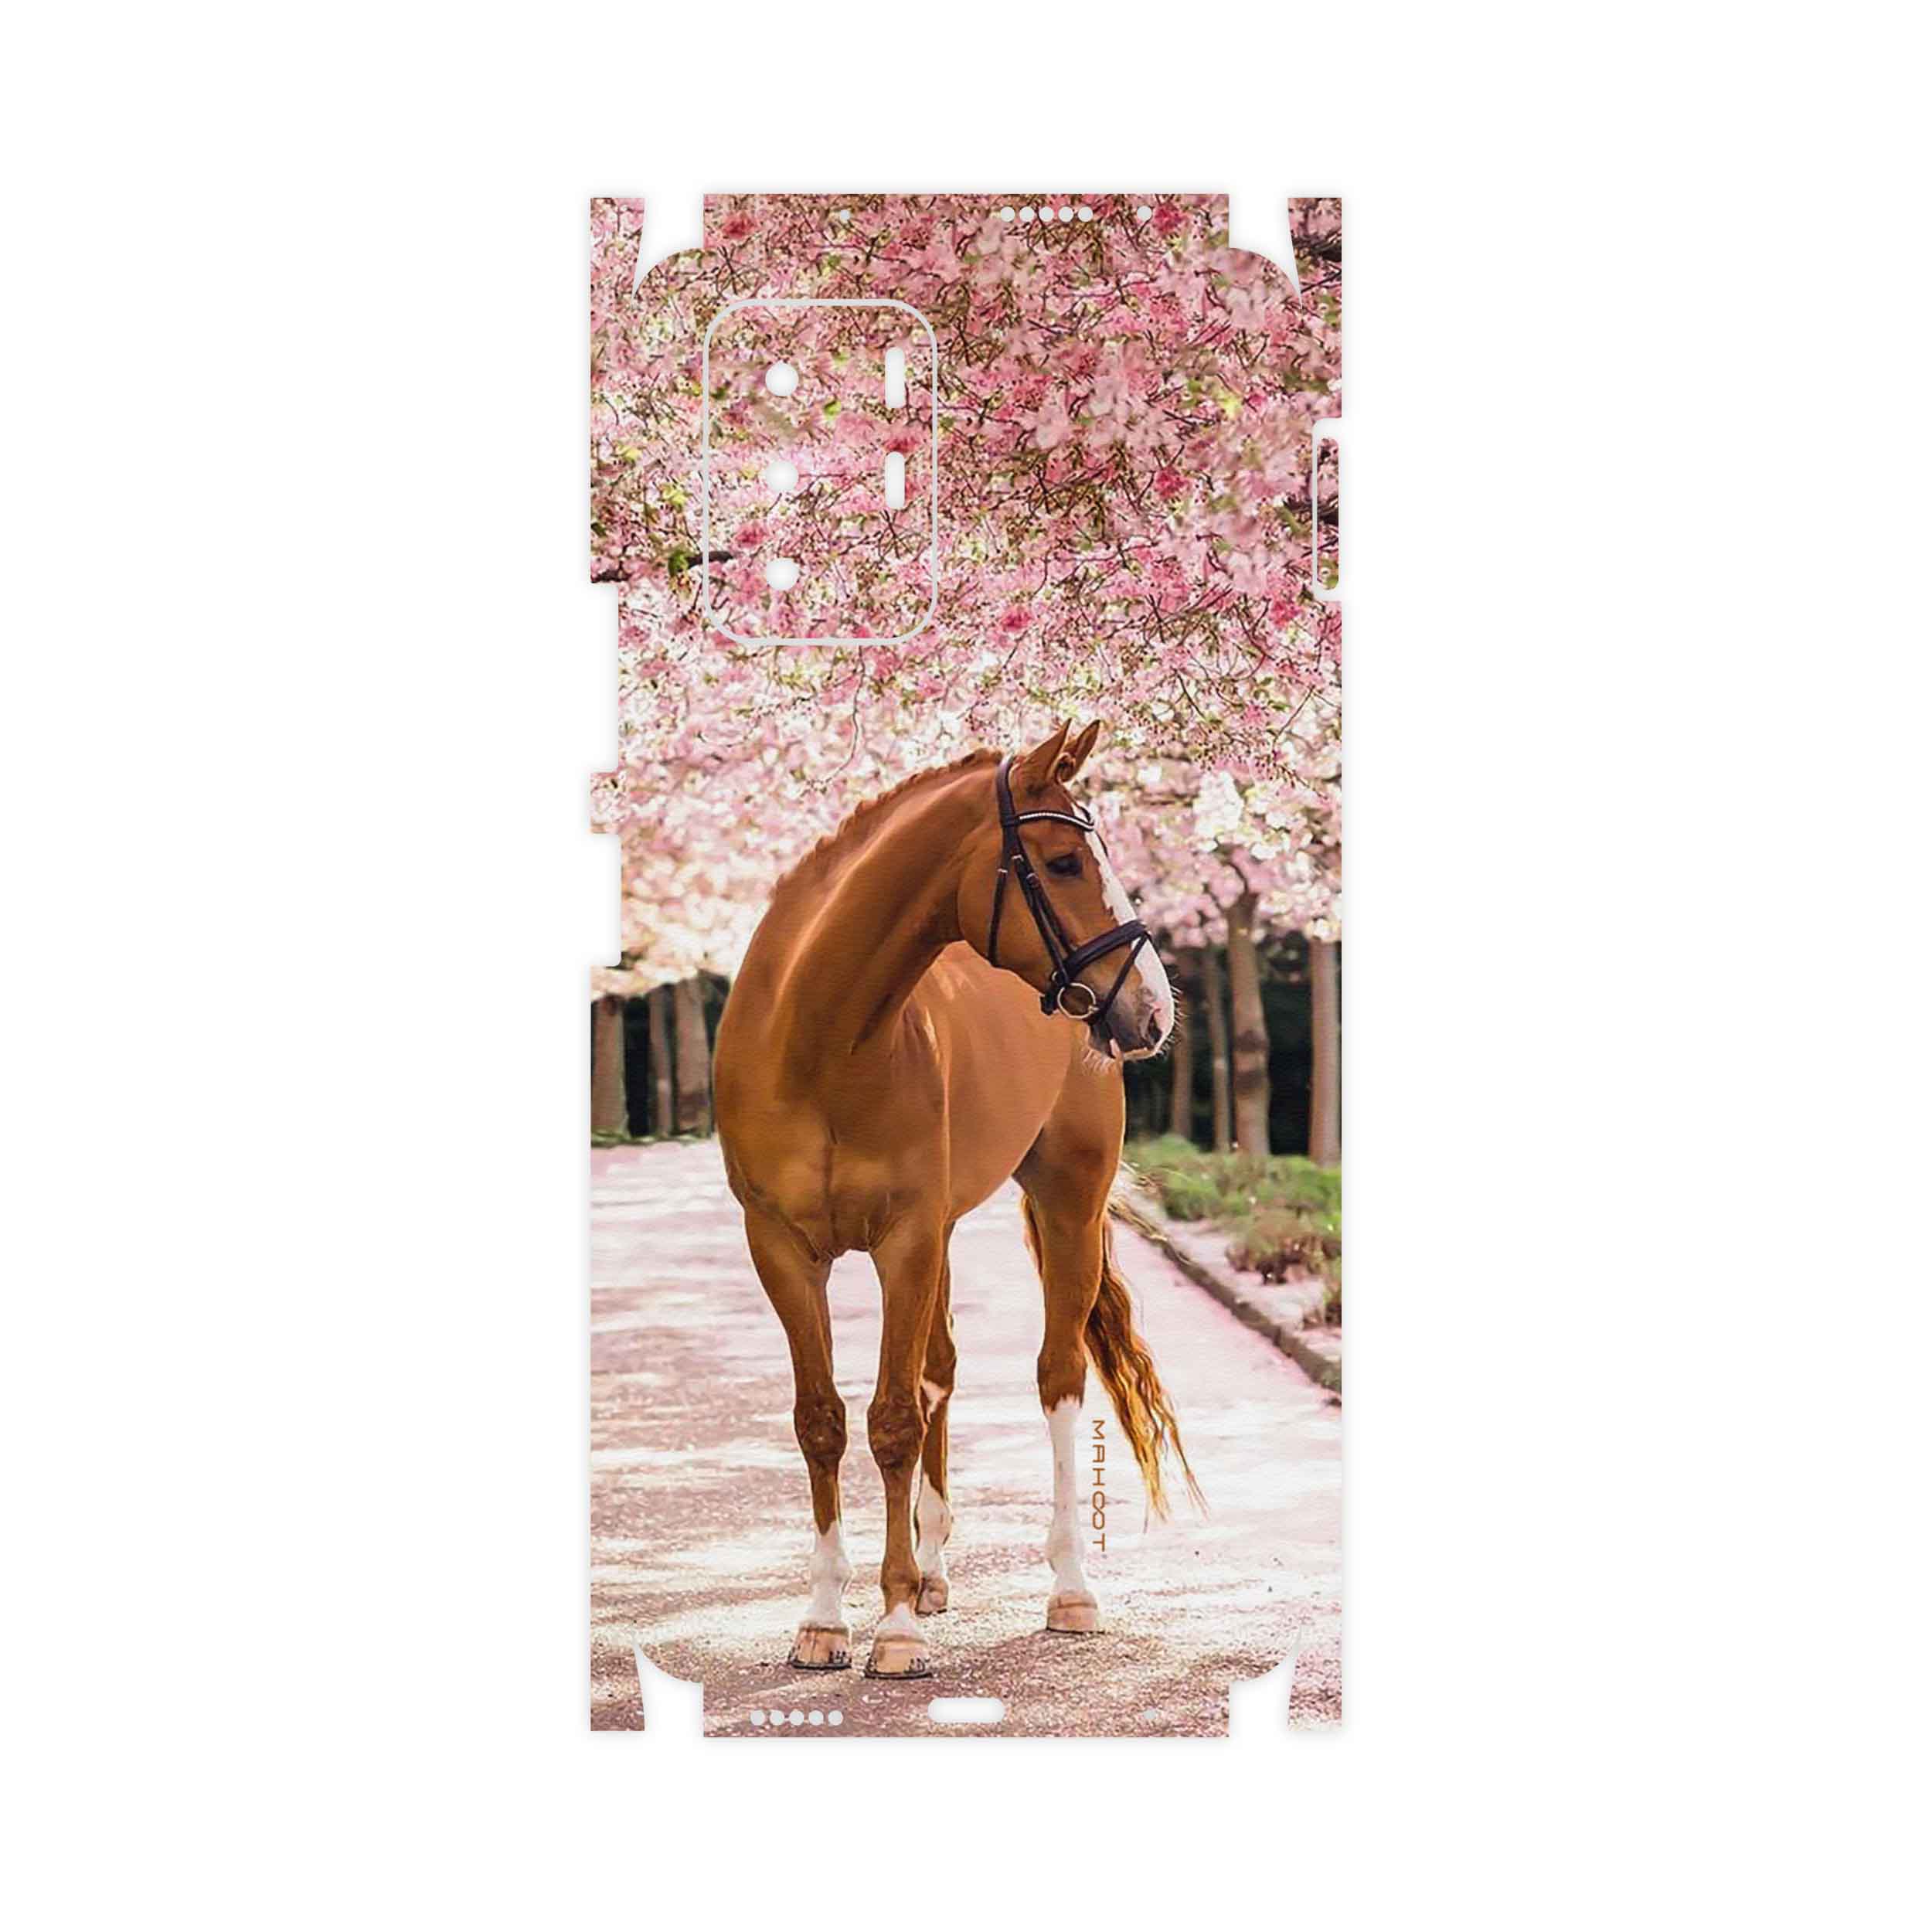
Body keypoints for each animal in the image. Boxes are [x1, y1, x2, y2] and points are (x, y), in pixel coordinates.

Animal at [714, 720, 1197, 1680]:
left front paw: (894, 1628)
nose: (1153, 1009)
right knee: (939, 1370)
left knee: (1056, 1377)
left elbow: (893, 1419)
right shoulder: (782, 1248)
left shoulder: (903, 1238)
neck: (818, 1040)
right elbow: (822, 1420)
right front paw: (824, 1619)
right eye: (1061, 862)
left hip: (1066, 1204)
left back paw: (1067, 1589)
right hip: (940, 1234)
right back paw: (934, 1572)